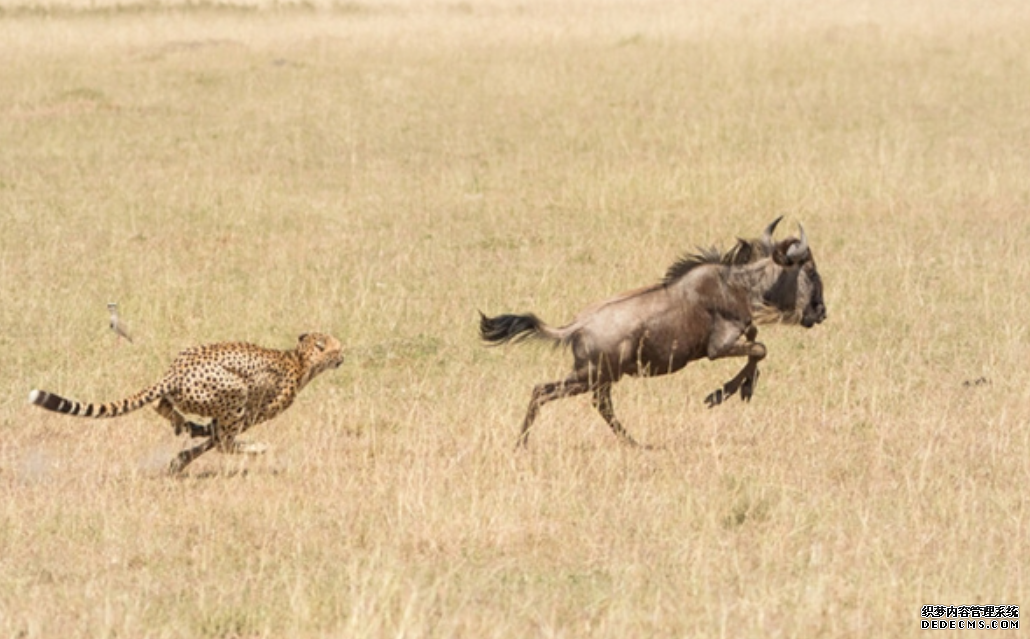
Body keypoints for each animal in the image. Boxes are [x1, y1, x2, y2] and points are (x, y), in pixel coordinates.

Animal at [28, 331, 346, 472]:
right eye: (338, 347)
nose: (344, 356)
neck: (299, 359)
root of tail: (176, 370)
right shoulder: (252, 414)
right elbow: (217, 439)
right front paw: (183, 457)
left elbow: (209, 436)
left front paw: (181, 457)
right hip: (237, 392)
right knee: (225, 441)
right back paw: (256, 447)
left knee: (160, 404)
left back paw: (181, 423)